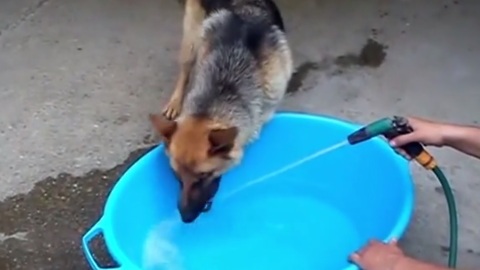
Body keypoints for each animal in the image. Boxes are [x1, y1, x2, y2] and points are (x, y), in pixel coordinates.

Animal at [150, 0, 292, 224]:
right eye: (176, 176)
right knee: (185, 70)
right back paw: (175, 101)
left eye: (204, 176)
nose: (185, 217)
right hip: (192, 39)